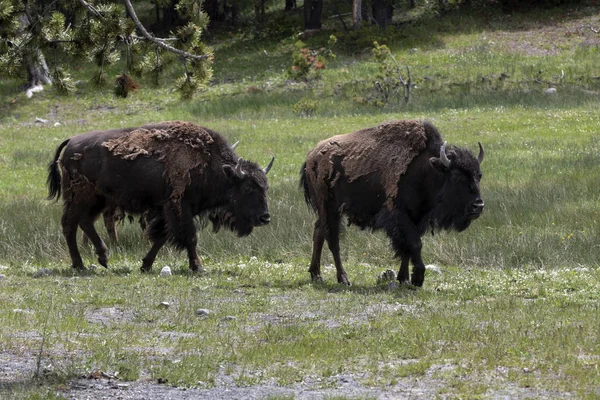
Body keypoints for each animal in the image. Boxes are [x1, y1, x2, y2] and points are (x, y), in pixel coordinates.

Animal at [49, 120, 274, 274]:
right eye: (247, 187)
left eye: (266, 186)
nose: (265, 217)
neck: (212, 165)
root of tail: (71, 142)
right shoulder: (180, 207)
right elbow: (190, 237)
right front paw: (198, 266)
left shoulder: (170, 211)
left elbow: (161, 237)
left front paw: (146, 265)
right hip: (81, 198)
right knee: (70, 224)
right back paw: (81, 264)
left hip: (98, 200)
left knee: (84, 222)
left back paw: (101, 258)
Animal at [300, 119, 482, 288]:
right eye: (456, 176)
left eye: (479, 175)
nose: (478, 206)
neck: (425, 170)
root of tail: (311, 156)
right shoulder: (399, 216)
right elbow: (414, 244)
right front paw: (417, 279)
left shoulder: (416, 218)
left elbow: (407, 249)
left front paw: (404, 279)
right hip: (329, 208)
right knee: (332, 239)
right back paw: (343, 279)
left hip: (328, 211)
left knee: (319, 231)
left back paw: (316, 275)